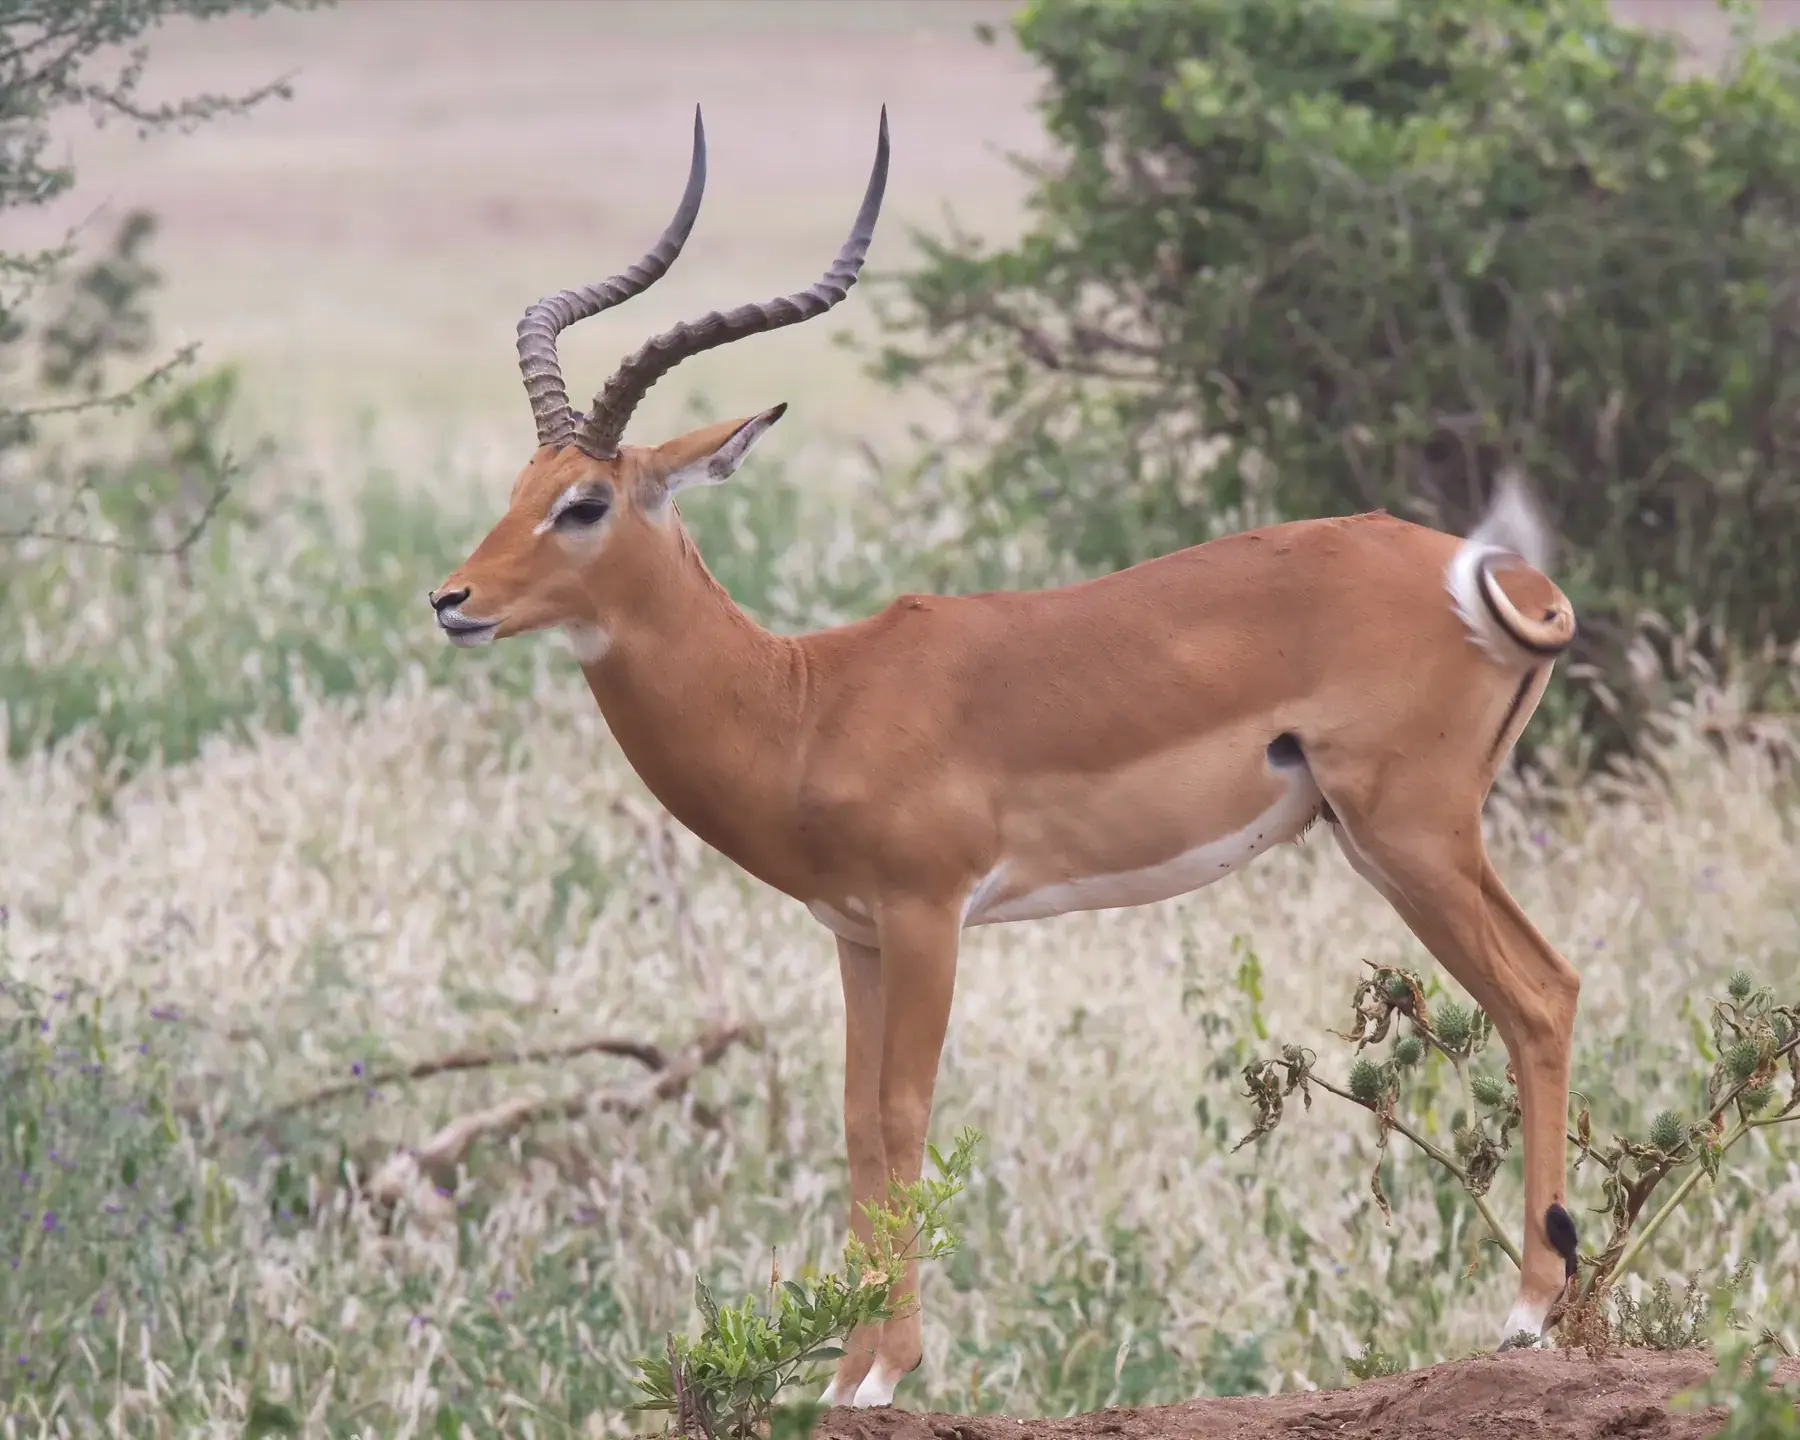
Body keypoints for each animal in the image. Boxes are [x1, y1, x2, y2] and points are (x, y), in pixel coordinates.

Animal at [431, 106, 1584, 1407]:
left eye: (583, 503)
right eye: (520, 485)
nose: (452, 600)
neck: (805, 701)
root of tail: (1505, 575)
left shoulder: (931, 914)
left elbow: (905, 1111)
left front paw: (886, 1372)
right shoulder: (856, 934)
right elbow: (857, 1123)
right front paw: (846, 1376)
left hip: (1410, 836)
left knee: (1538, 996)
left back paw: (1528, 1314)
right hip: (1418, 839)